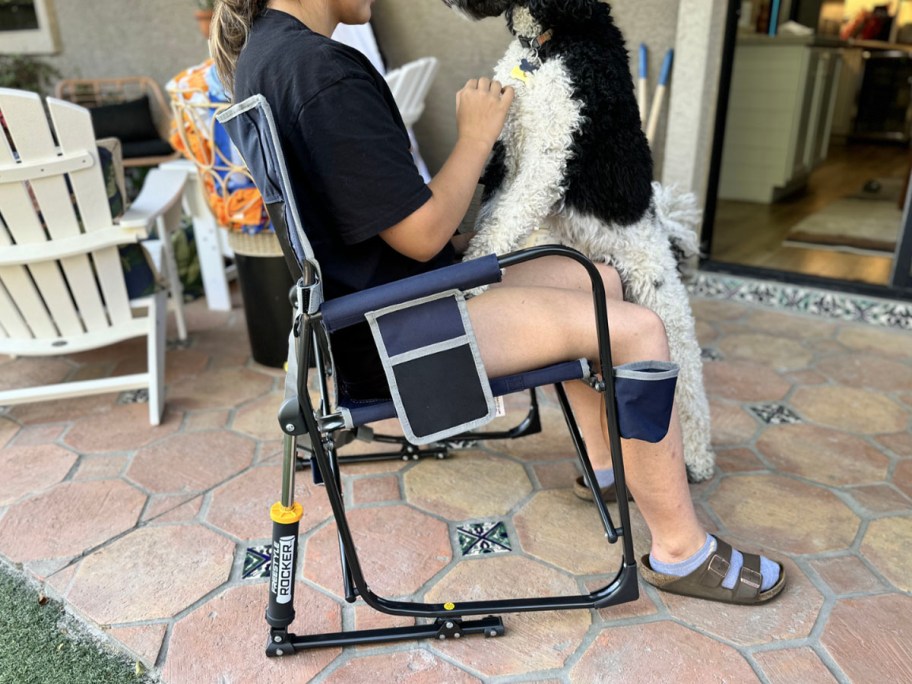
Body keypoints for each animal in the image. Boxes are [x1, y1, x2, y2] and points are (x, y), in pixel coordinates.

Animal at [446, 0, 716, 484]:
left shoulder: (551, 153)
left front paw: (472, 273)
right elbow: (496, 217)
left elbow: (505, 218)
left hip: (663, 309)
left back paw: (698, 459)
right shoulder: (504, 157)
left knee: (688, 389)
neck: (549, 44)